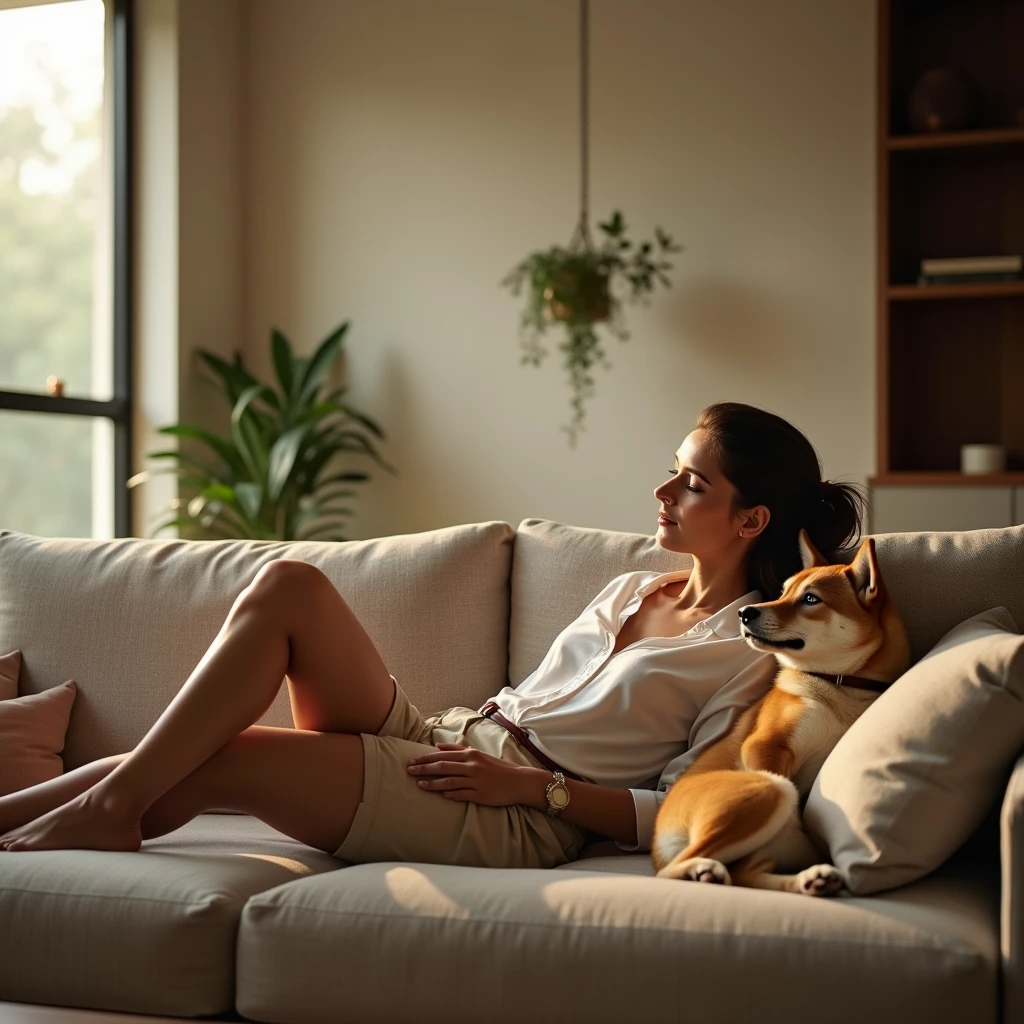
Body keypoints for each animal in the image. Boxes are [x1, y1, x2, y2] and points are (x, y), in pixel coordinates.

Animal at [651, 528, 909, 897]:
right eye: (783, 592)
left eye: (811, 599)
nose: (745, 612)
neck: (842, 686)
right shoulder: (766, 746)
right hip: (770, 788)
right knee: (677, 870)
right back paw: (705, 869)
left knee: (746, 873)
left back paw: (812, 878)